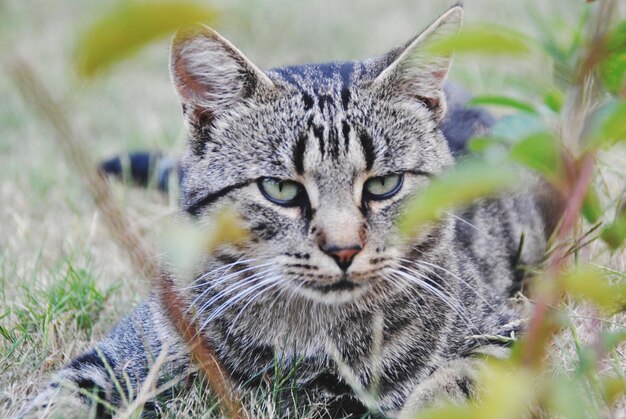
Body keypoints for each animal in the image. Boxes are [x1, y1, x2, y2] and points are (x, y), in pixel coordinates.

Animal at [24, 4, 560, 419]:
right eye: (280, 190)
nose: (343, 249)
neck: (309, 343)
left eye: (384, 184)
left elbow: (460, 379)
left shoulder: (509, 330)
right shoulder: (122, 353)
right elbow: (58, 397)